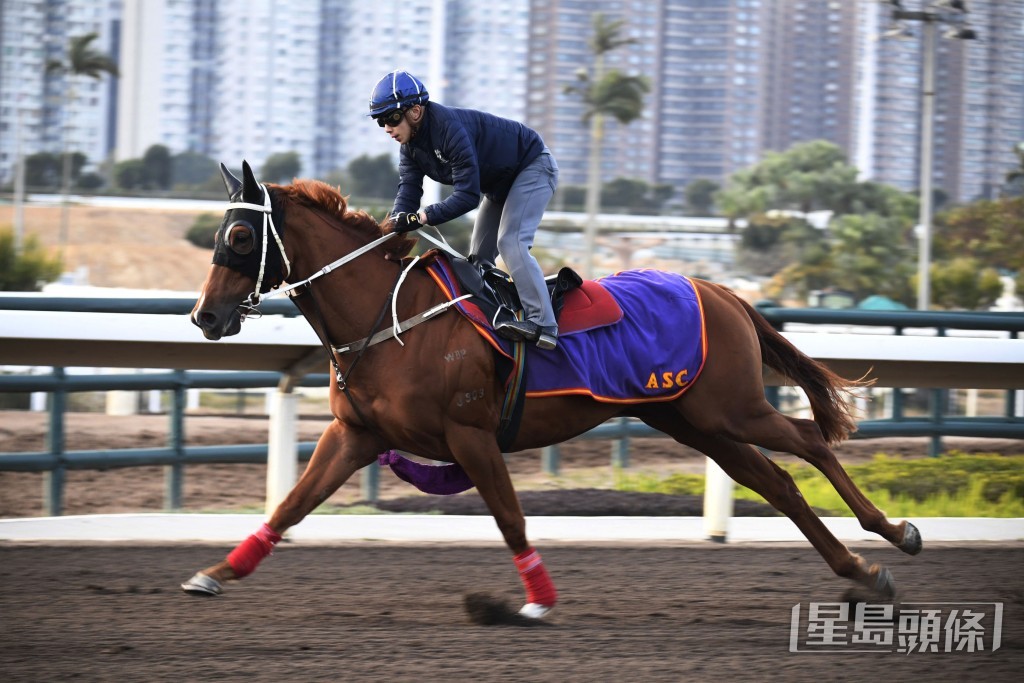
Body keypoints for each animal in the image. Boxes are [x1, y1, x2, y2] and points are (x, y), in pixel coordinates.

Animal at [182, 161, 921, 618]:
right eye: (218, 233)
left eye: (240, 234)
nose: (205, 318)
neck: (388, 317)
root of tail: (722, 290)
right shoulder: (356, 433)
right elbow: (290, 506)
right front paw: (215, 573)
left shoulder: (470, 434)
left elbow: (510, 517)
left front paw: (535, 601)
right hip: (697, 422)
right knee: (779, 482)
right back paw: (862, 571)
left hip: (731, 407)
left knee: (808, 441)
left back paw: (895, 533)